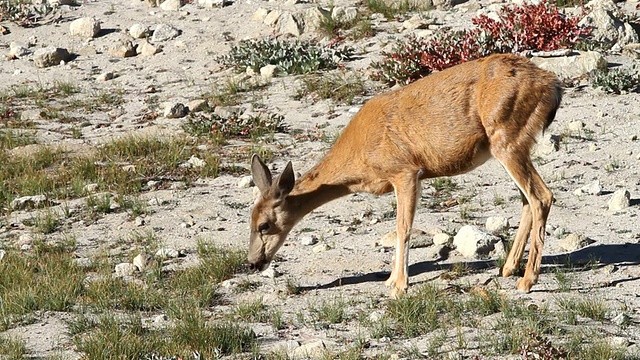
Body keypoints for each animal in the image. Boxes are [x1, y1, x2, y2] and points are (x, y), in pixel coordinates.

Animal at [248, 52, 564, 296]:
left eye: (264, 225)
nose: (253, 262)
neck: (359, 159)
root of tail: (552, 83)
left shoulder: (405, 170)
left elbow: (402, 227)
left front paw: (398, 284)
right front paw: (391, 279)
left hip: (506, 137)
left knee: (541, 196)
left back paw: (527, 280)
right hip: (512, 144)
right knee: (527, 199)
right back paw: (508, 269)